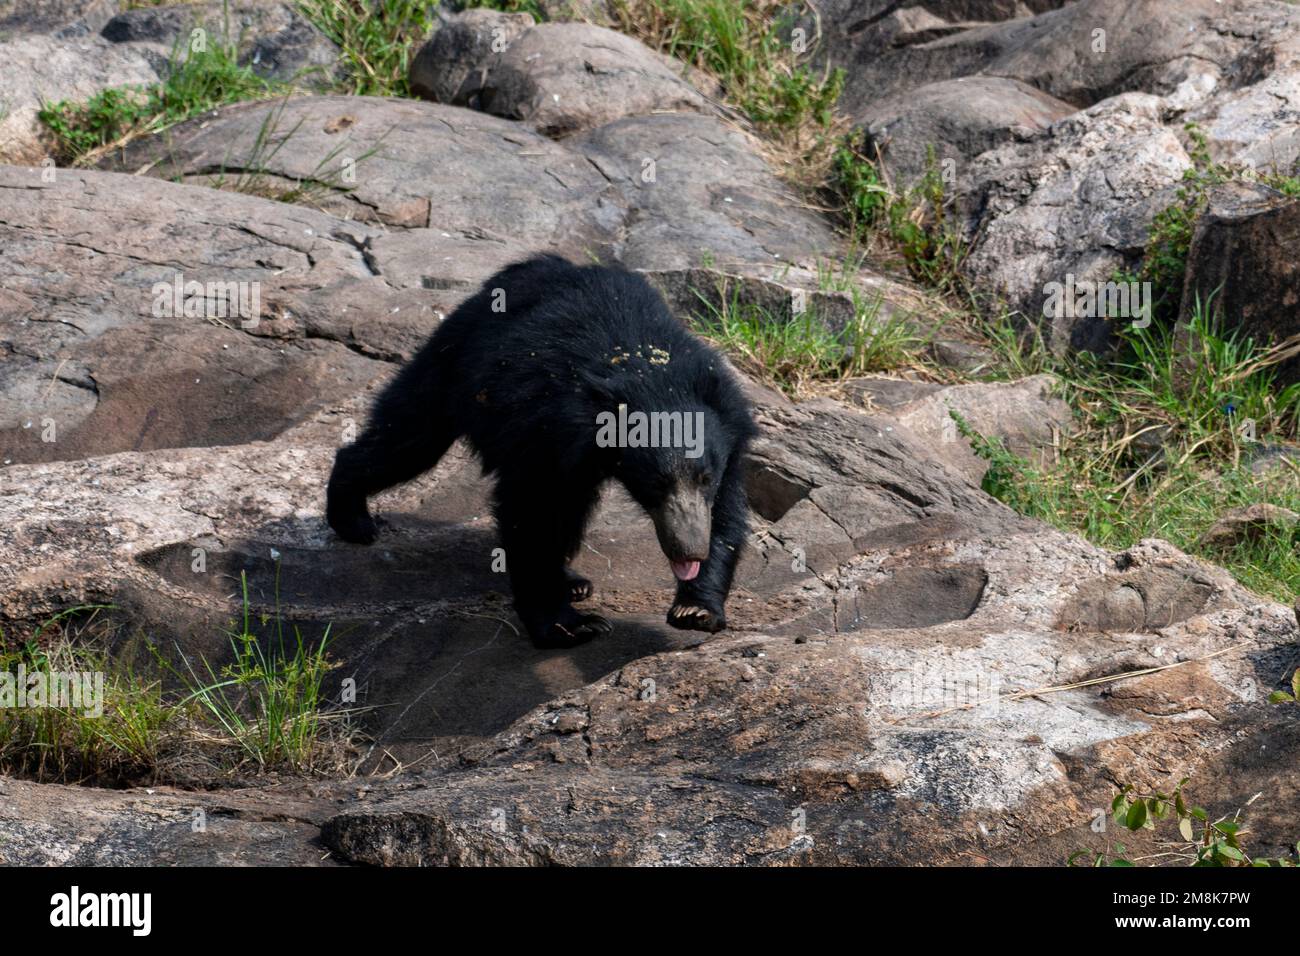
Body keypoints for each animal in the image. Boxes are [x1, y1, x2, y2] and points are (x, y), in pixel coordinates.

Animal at [326, 254, 757, 649]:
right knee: (409, 438)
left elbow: (726, 514)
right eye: (655, 483)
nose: (690, 550)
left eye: (706, 478)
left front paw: (695, 609)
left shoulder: (730, 433)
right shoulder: (547, 432)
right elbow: (533, 512)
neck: (651, 377)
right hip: (452, 362)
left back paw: (574, 582)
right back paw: (354, 520)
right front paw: (570, 626)